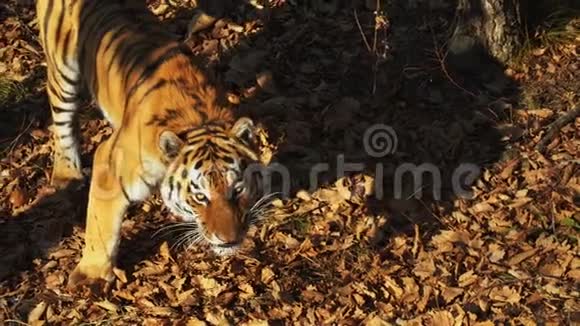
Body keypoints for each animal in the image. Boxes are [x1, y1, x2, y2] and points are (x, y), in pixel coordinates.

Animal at [36, 0, 268, 288]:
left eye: (237, 189)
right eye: (200, 197)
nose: (230, 239)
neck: (199, 121)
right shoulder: (109, 162)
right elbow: (100, 225)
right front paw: (91, 275)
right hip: (62, 73)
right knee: (61, 119)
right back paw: (66, 174)